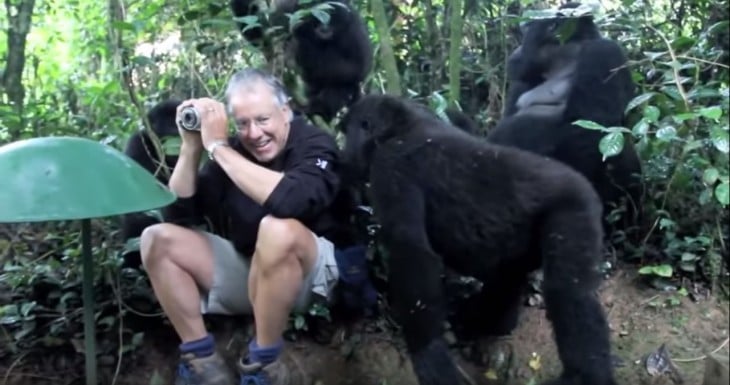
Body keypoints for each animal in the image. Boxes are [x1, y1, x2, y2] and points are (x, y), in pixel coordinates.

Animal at [230, 0, 372, 121]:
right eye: (321, 17)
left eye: (332, 20)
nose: (325, 27)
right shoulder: (290, 10)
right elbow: (258, 36)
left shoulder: (353, 31)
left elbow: (355, 68)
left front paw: (303, 34)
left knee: (342, 86)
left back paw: (319, 110)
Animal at [336, 92, 616, 384]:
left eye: (347, 132)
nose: (342, 157)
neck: (399, 126)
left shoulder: (390, 167)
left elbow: (412, 252)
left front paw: (429, 355)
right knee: (510, 276)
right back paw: (485, 320)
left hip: (574, 208)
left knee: (569, 293)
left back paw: (585, 375)